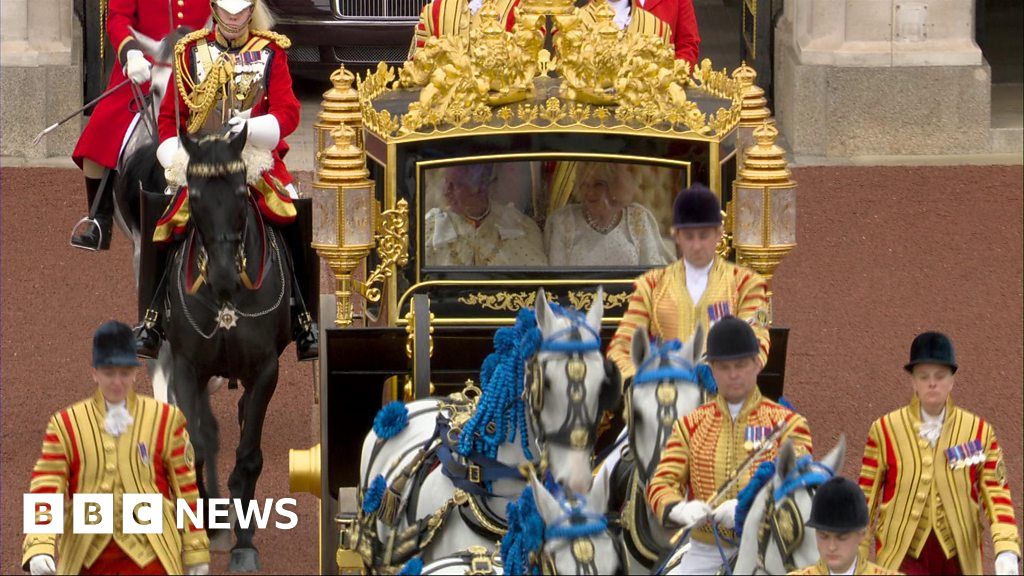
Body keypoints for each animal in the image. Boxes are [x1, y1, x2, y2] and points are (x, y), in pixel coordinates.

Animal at [161, 131, 292, 569]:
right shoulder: (186, 368)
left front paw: (244, 541)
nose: (222, 275)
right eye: (196, 194)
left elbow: (249, 455)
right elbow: (196, 446)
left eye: (238, 191)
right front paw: (204, 521)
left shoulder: (265, 371)